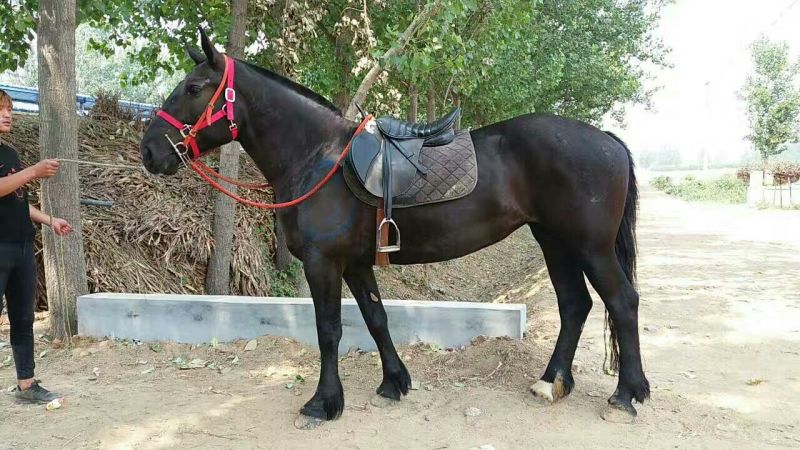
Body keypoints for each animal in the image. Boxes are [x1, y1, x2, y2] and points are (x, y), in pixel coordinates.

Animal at [140, 29, 649, 428]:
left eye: (193, 87)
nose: (149, 151)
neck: (318, 156)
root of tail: (607, 140)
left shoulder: (323, 264)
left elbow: (329, 330)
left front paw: (323, 403)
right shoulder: (356, 264)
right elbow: (376, 318)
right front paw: (394, 382)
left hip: (591, 247)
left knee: (622, 302)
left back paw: (626, 395)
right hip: (555, 243)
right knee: (575, 305)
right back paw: (551, 383)